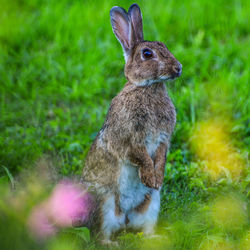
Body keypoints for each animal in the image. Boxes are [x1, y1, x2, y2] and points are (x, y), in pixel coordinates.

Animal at [81, 2, 182, 244]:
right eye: (147, 54)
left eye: (164, 45)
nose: (178, 68)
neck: (147, 87)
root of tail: (125, 218)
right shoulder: (129, 138)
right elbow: (140, 156)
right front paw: (150, 177)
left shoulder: (163, 138)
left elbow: (160, 156)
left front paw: (157, 178)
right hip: (105, 203)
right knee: (101, 233)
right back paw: (112, 244)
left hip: (151, 204)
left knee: (144, 226)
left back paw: (154, 238)